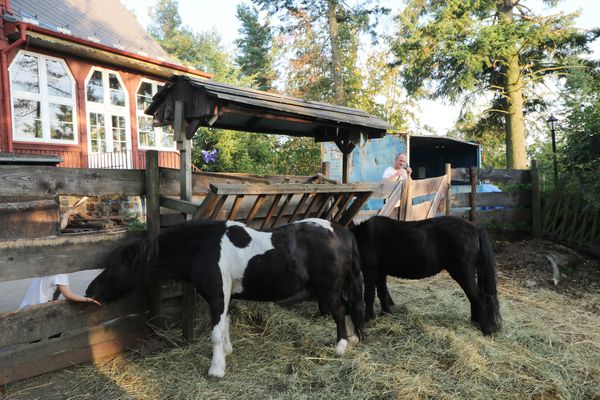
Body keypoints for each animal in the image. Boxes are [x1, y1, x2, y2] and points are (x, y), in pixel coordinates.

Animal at [86, 219, 364, 378]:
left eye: (115, 266)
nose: (90, 292)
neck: (202, 248)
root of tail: (342, 232)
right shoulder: (225, 296)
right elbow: (226, 327)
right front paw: (228, 353)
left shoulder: (216, 297)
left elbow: (216, 334)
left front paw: (216, 369)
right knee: (348, 308)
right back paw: (353, 340)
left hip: (328, 288)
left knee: (340, 311)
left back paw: (341, 346)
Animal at [352, 216, 502, 334]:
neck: (362, 238)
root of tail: (475, 228)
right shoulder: (380, 272)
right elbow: (382, 294)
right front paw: (385, 314)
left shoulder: (370, 271)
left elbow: (369, 295)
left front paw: (368, 319)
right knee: (474, 297)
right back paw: (475, 322)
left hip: (463, 273)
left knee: (479, 297)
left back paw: (486, 328)